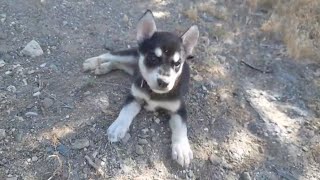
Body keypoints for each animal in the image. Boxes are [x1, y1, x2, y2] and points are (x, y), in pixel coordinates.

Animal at [82, 9, 199, 167]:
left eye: (177, 63)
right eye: (153, 58)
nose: (164, 82)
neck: (153, 92)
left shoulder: (179, 109)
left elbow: (181, 128)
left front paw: (182, 149)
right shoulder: (134, 97)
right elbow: (125, 112)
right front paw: (118, 126)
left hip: (131, 65)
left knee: (116, 63)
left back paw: (103, 68)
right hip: (129, 55)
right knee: (110, 55)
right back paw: (92, 62)